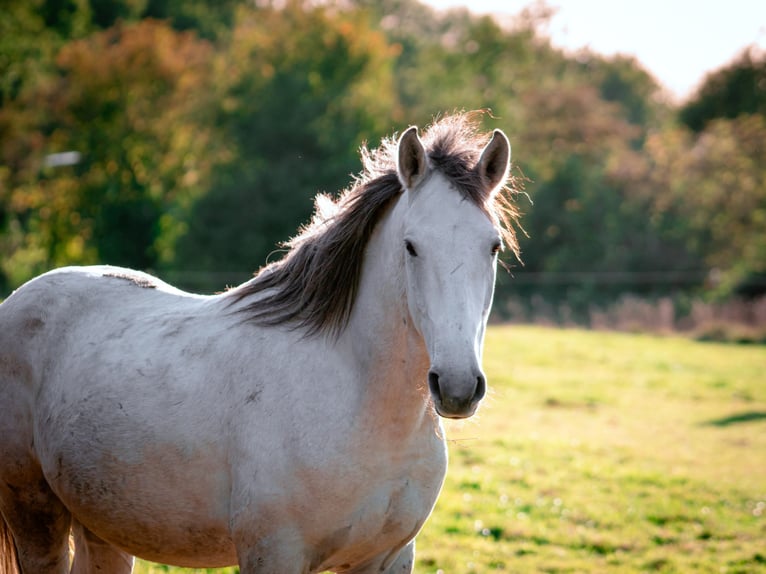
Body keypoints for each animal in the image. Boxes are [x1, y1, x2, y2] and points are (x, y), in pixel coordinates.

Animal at [0, 113, 520, 574]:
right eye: (411, 246)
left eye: (492, 246)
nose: (457, 387)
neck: (362, 409)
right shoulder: (275, 553)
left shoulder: (388, 559)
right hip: (34, 513)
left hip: (103, 525)